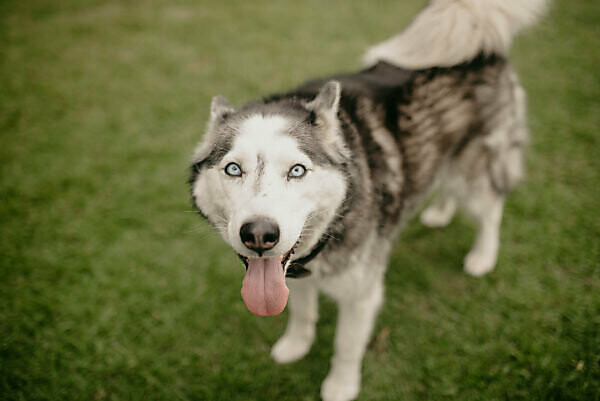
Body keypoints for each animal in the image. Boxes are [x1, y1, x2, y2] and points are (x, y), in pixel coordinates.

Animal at [190, 0, 548, 400]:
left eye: (297, 170)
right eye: (233, 169)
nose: (259, 235)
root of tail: (483, 42)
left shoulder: (361, 294)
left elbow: (346, 345)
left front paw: (340, 386)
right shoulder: (294, 275)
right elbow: (301, 313)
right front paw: (295, 346)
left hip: (475, 167)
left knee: (491, 207)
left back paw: (483, 256)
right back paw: (440, 212)